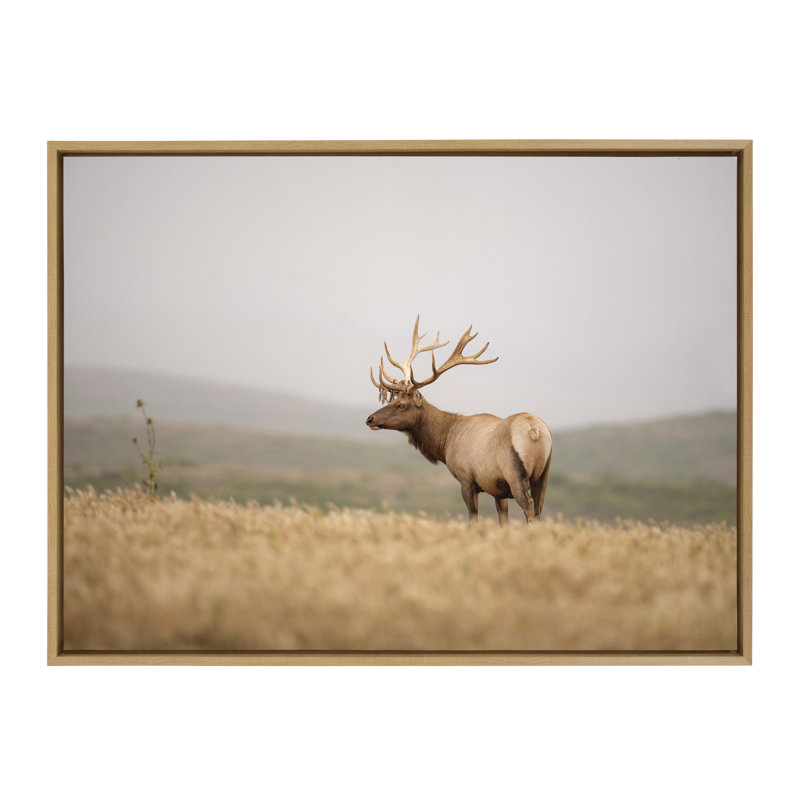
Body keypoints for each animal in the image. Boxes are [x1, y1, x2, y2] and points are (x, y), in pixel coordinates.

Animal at [366, 316, 553, 524]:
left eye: (401, 405)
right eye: (392, 399)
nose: (370, 419)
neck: (445, 441)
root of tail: (534, 430)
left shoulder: (467, 479)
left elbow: (473, 517)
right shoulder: (497, 489)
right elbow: (503, 520)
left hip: (515, 473)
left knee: (529, 508)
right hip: (543, 476)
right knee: (538, 509)